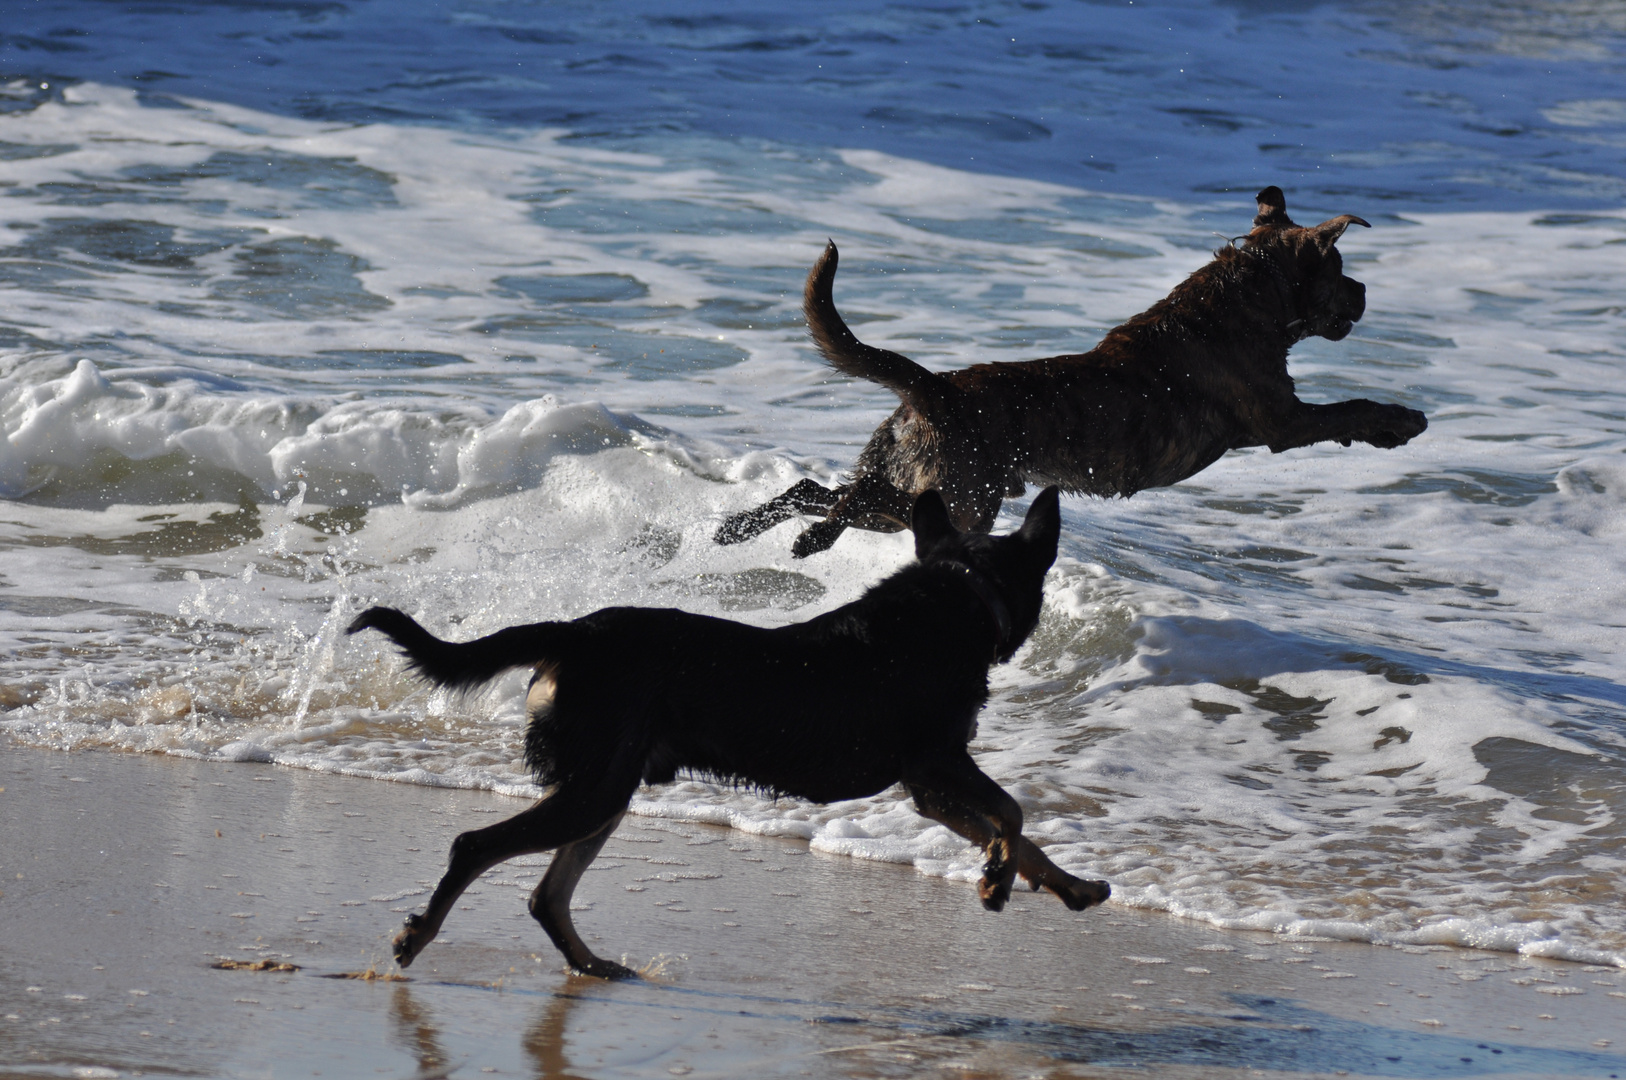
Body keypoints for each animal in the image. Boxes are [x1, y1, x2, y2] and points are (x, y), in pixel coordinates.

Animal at [343, 484, 1105, 975]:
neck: (961, 590)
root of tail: (573, 633)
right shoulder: (938, 763)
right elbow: (1013, 814)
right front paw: (996, 882)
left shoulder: (928, 788)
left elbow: (1017, 831)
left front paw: (1069, 887)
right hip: (596, 787)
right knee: (476, 847)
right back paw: (419, 937)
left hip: (607, 786)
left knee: (546, 894)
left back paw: (593, 964)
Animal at [718, 185, 1430, 556]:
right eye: (1340, 269)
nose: (1365, 293)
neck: (1250, 292)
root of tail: (932, 388)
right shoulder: (1280, 420)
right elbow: (1349, 410)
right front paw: (1400, 421)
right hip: (963, 499)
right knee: (846, 502)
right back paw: (811, 537)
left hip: (913, 473)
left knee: (814, 486)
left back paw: (737, 527)